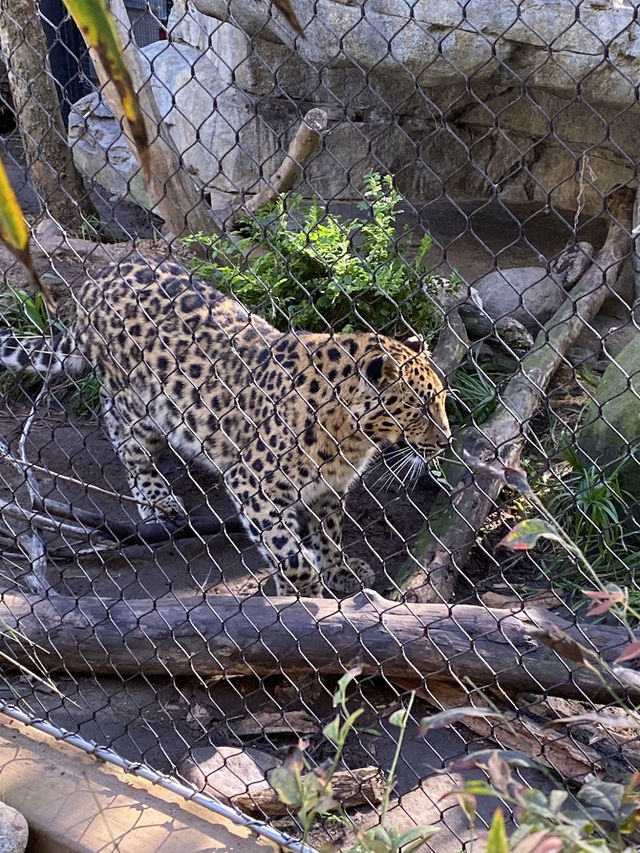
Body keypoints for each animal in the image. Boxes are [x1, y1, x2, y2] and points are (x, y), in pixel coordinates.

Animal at [0, 256, 450, 596]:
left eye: (443, 399)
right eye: (421, 407)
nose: (445, 442)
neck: (352, 436)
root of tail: (98, 277)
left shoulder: (327, 488)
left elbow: (329, 532)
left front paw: (341, 570)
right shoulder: (252, 482)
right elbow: (287, 549)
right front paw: (303, 591)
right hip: (142, 401)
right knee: (126, 437)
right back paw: (157, 500)